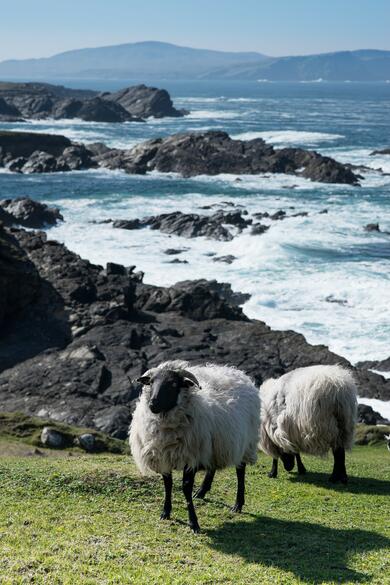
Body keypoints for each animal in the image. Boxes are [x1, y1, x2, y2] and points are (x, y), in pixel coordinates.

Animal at [129, 358, 260, 532]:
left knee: (240, 471)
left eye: (173, 384)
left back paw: (238, 504)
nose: (153, 404)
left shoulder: (190, 457)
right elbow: (168, 485)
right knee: (212, 467)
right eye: (151, 382)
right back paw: (202, 492)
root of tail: (236, 372)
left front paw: (193, 522)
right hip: (213, 444)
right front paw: (166, 512)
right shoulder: (164, 455)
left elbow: (186, 488)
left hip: (245, 442)